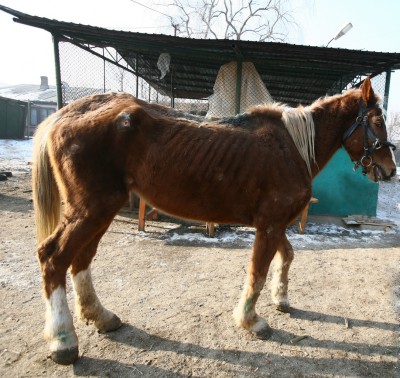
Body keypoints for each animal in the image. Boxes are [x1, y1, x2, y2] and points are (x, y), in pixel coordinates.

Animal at [32, 77, 396, 364]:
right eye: (377, 122)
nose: (390, 170)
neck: (292, 146)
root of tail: (63, 114)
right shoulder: (269, 225)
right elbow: (257, 272)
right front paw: (251, 320)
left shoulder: (276, 224)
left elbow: (287, 257)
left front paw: (281, 299)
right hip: (92, 208)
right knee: (54, 257)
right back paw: (63, 341)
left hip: (101, 209)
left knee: (81, 258)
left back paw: (100, 316)